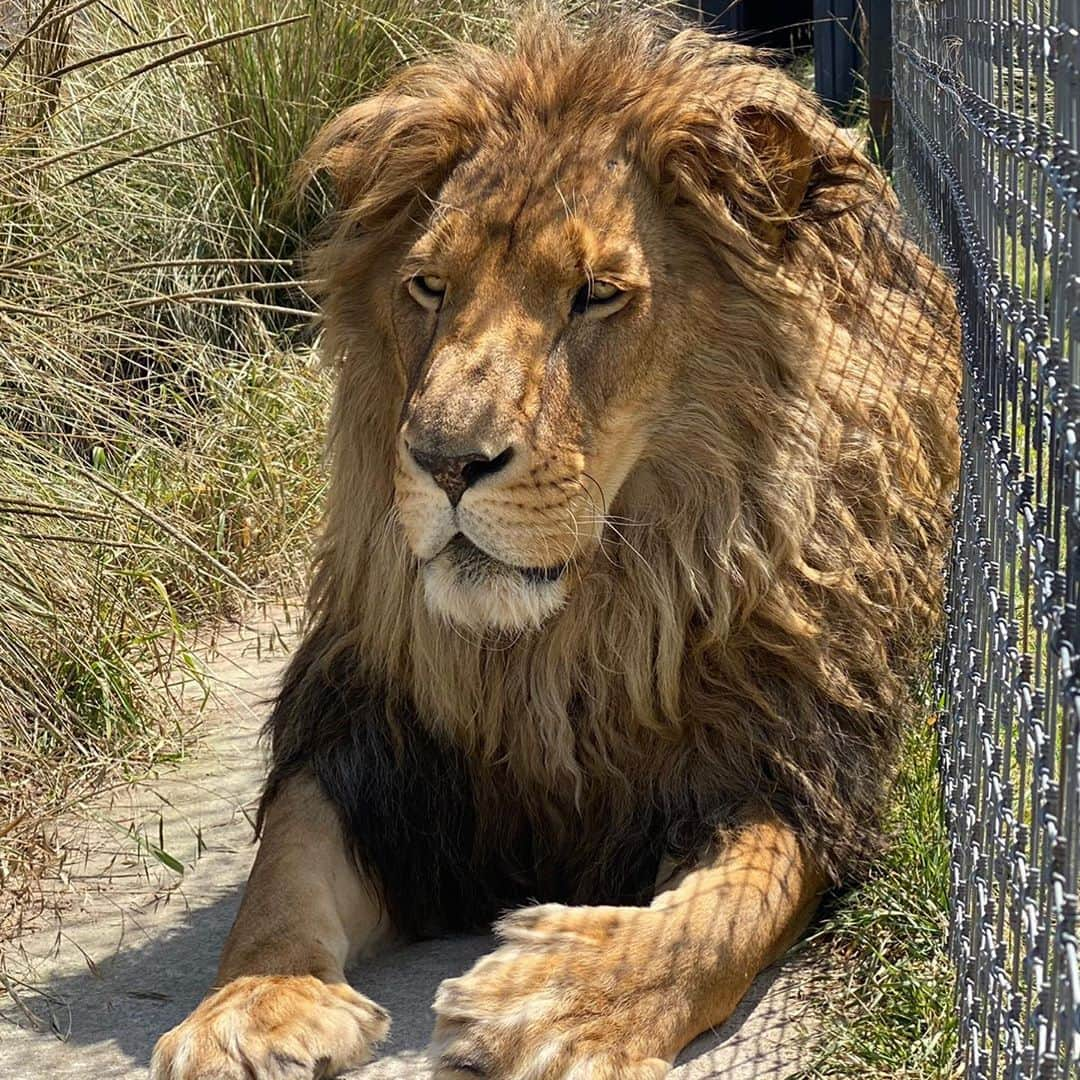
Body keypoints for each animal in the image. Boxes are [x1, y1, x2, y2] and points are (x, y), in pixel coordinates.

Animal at [147, 10, 959, 1080]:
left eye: (597, 295)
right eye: (427, 285)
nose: (444, 459)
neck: (564, 637)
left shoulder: (791, 758)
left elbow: (727, 910)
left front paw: (565, 1001)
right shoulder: (374, 746)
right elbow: (281, 865)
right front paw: (251, 1006)